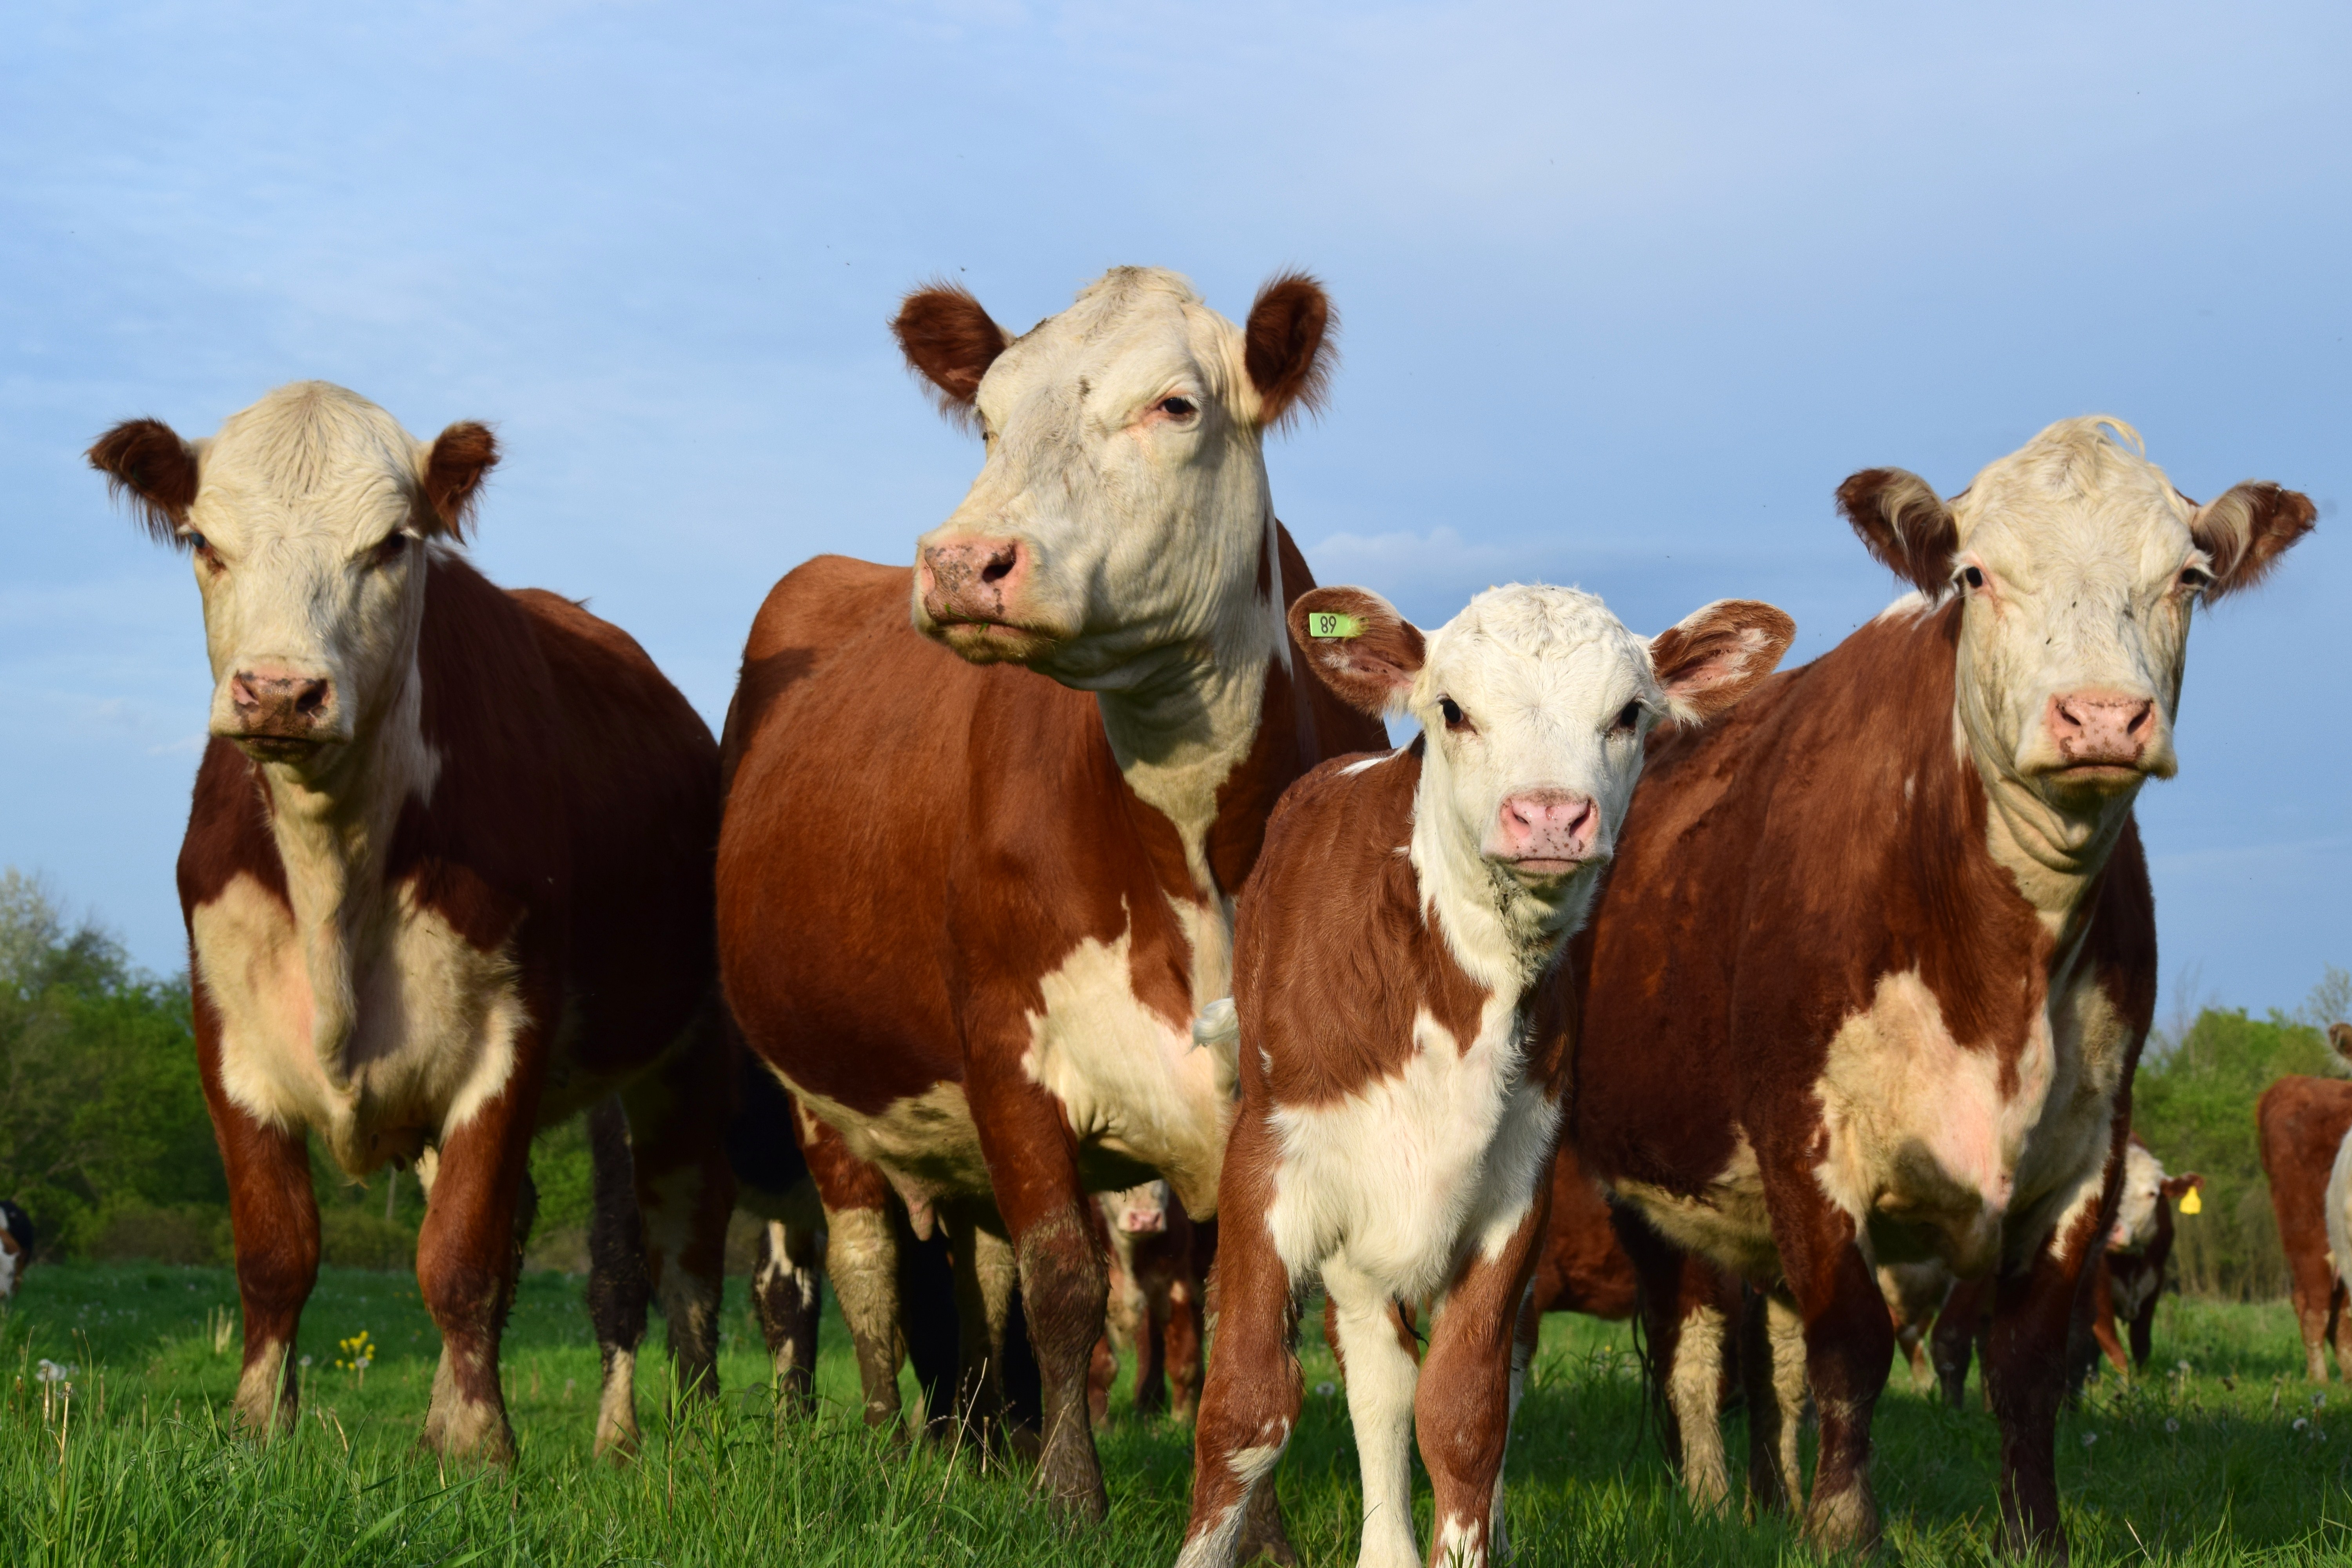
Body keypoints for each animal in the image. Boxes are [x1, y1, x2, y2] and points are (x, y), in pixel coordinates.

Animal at [89, 385, 734, 1467]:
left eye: (393, 544)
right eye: (203, 539)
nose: (281, 690)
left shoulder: (509, 1035)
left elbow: (461, 1253)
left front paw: (479, 1445)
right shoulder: (226, 1034)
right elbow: (278, 1251)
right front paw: (260, 1428)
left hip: (684, 1059)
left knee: (671, 1250)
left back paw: (672, 1433)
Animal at [710, 263, 1374, 1523]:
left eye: (1176, 405)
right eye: (986, 417)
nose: (964, 560)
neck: (1192, 857)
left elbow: (1248, 1311)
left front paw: (1251, 1524)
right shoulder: (1005, 1047)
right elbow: (1064, 1277)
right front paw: (1070, 1497)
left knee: (977, 1265)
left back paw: (984, 1439)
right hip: (820, 1095)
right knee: (870, 1269)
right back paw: (899, 1442)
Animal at [1185, 583, 1788, 1561]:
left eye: (1630, 713)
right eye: (1453, 709)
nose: (1548, 815)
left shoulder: (1517, 1193)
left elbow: (1467, 1415)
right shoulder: (1266, 1170)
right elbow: (1245, 1405)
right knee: (1374, 1377)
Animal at [1562, 416, 2314, 1561]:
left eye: (2188, 576)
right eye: (1974, 574)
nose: (2104, 716)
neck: (2001, 972)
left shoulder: (2082, 1164)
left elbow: (2026, 1366)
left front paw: (2031, 1536)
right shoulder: (1807, 1146)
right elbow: (1851, 1350)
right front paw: (1845, 1530)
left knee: (1769, 1359)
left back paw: (1770, 1500)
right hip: (1654, 1183)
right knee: (1695, 1352)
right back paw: (1711, 1504)